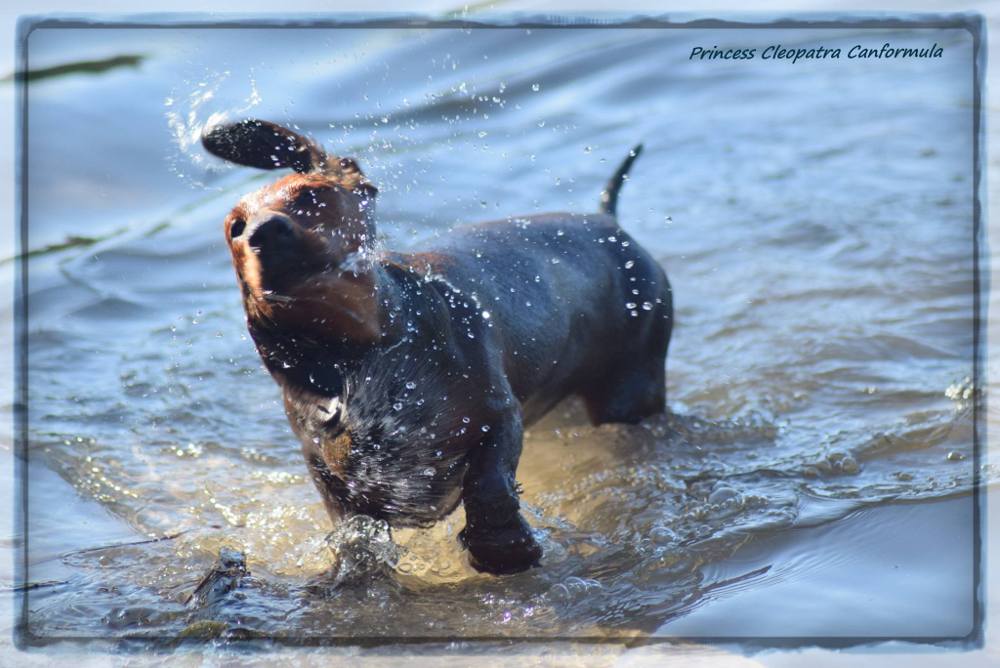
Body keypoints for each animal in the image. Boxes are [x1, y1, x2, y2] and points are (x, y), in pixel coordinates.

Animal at [202, 121, 672, 576]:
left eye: (311, 194)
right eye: (235, 227)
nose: (264, 231)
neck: (360, 359)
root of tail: (609, 220)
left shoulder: (497, 415)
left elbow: (488, 485)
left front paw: (503, 551)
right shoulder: (328, 471)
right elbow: (356, 530)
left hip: (632, 386)